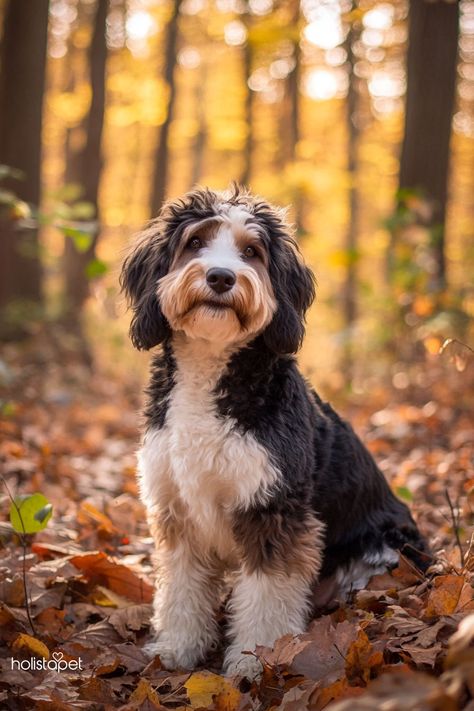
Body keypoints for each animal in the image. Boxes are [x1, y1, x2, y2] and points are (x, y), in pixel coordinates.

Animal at [121, 188, 430, 680]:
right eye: (195, 243)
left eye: (251, 252)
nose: (221, 276)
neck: (211, 374)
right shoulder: (177, 510)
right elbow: (182, 589)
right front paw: (177, 648)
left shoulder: (274, 509)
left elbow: (266, 595)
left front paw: (254, 661)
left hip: (381, 555)